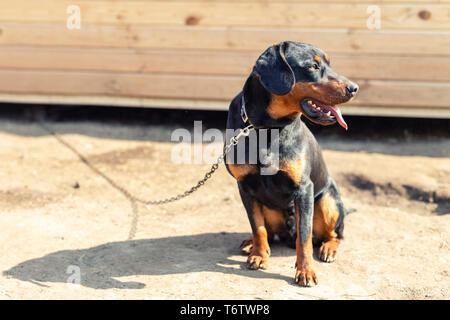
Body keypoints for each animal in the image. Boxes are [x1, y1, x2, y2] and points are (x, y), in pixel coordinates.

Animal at [225, 40, 358, 288]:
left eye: (328, 64)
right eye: (313, 66)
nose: (354, 88)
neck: (267, 127)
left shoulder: (304, 189)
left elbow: (304, 238)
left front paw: (305, 271)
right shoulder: (245, 186)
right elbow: (257, 226)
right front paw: (259, 255)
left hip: (328, 201)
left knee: (334, 234)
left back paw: (328, 248)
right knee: (268, 232)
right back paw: (252, 245)